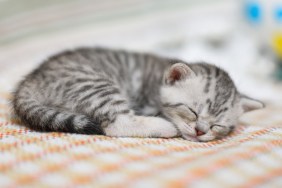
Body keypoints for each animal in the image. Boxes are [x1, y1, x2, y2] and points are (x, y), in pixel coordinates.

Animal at [12, 47, 264, 142]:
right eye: (192, 111)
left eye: (217, 126)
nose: (200, 131)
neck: (157, 80)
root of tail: (32, 79)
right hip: (94, 84)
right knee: (115, 124)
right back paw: (164, 127)